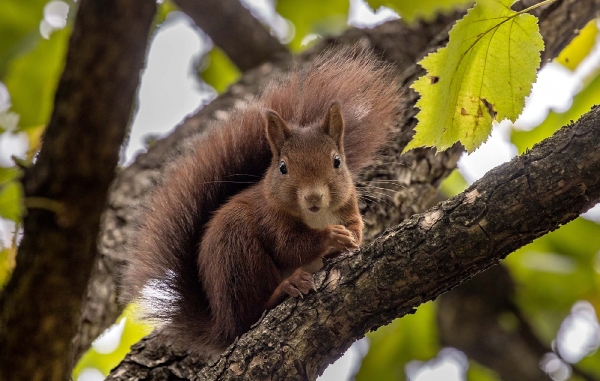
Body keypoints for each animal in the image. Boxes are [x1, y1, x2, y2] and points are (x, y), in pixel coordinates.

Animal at [122, 46, 400, 354]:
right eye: (283, 167)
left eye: (337, 161)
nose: (313, 196)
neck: (316, 216)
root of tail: (222, 324)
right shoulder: (270, 218)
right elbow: (290, 247)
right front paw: (331, 236)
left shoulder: (347, 206)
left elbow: (355, 229)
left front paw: (350, 237)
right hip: (238, 252)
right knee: (251, 313)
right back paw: (285, 289)